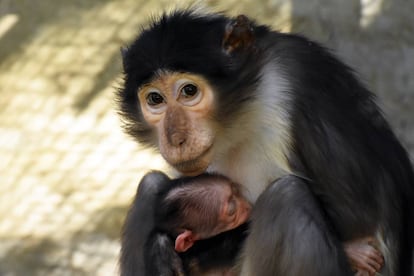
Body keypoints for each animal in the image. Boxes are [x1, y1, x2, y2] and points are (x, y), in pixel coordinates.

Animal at [116, 9, 414, 276]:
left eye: (189, 91)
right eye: (155, 99)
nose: (176, 138)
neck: (240, 117)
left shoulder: (296, 79)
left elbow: (358, 217)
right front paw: (161, 249)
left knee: (287, 197)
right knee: (151, 183)